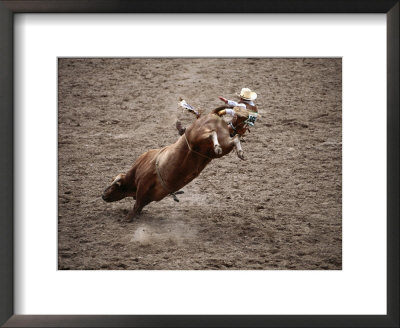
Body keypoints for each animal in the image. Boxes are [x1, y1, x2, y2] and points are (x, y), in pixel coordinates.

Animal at [99, 100, 256, 222]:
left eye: (113, 184)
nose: (103, 195)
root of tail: (212, 114)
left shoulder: (143, 183)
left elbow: (137, 204)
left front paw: (127, 218)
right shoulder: (150, 195)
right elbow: (139, 205)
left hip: (199, 136)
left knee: (212, 133)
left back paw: (219, 145)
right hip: (223, 144)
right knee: (234, 139)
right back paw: (239, 152)